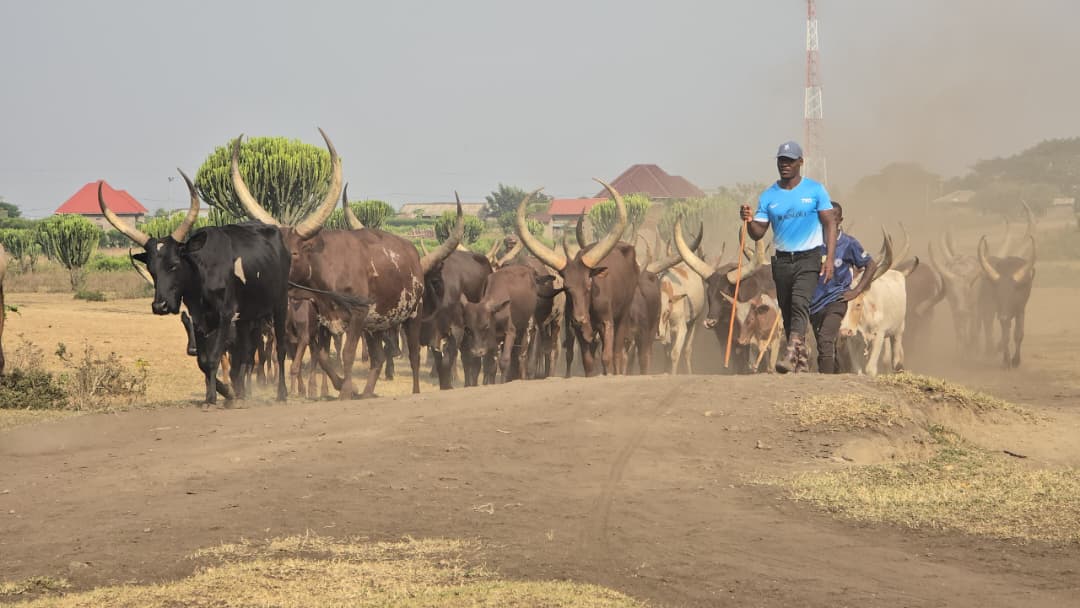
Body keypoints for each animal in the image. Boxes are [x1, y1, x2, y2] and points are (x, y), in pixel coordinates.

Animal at [102, 171, 291, 405]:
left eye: (174, 264)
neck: (202, 274)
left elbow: (214, 357)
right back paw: (241, 392)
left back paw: (281, 393)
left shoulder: (225, 315)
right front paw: (219, 393)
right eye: (152, 269)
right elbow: (204, 361)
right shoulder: (200, 319)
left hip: (279, 305)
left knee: (279, 349)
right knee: (246, 355)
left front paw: (218, 396)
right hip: (248, 316)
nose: (160, 306)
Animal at [231, 133, 462, 399]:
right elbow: (322, 357)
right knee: (378, 357)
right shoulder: (323, 321)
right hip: (376, 324)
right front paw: (344, 385)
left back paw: (414, 391)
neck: (327, 271)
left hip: (412, 316)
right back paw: (367, 391)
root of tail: (412, 254)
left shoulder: (358, 316)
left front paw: (345, 392)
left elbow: (347, 354)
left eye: (295, 253)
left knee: (413, 356)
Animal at [515, 180, 637, 377]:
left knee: (618, 352)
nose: (579, 318)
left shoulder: (607, 323)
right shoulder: (578, 330)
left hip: (623, 315)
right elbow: (588, 361)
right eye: (566, 288)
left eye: (588, 285)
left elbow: (607, 357)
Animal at [975, 234, 1036, 368]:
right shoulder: (999, 311)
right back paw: (989, 350)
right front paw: (1006, 361)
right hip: (986, 307)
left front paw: (1016, 361)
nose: (1003, 317)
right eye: (998, 294)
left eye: (1013, 294)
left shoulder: (1021, 309)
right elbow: (1005, 335)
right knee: (987, 325)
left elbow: (1018, 334)